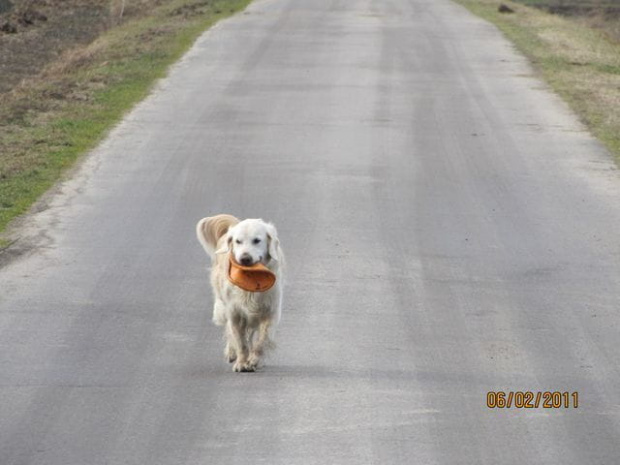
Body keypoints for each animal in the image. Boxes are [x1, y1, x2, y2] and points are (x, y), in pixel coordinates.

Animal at [195, 213, 284, 370]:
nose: (245, 259)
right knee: (230, 331)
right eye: (238, 241)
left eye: (257, 240)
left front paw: (253, 360)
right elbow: (240, 342)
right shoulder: (235, 313)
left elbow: (262, 340)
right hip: (222, 307)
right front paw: (241, 363)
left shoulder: (270, 311)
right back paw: (231, 353)